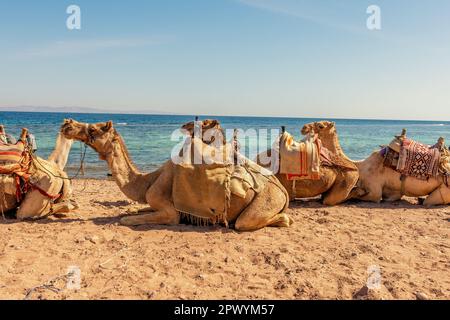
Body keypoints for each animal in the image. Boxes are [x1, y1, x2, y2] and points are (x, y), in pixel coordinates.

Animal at [59, 119, 292, 231]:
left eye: (94, 129)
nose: (67, 124)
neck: (147, 181)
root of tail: (282, 190)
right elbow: (135, 211)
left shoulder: (170, 213)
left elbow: (126, 220)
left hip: (266, 200)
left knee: (247, 222)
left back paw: (283, 219)